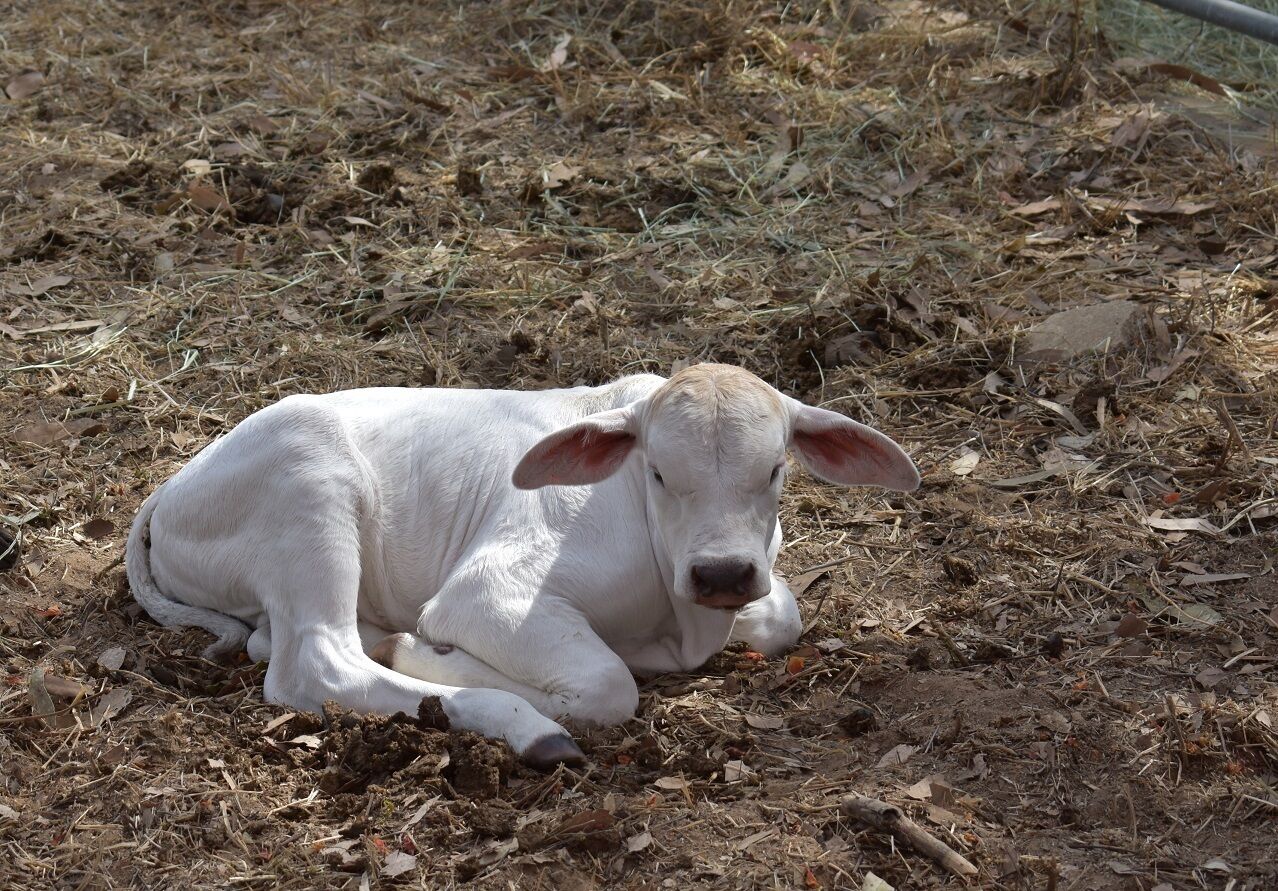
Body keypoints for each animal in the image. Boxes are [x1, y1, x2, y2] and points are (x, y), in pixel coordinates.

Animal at [129, 360, 920, 767]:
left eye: (776, 469)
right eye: (659, 471)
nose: (721, 573)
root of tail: (172, 490)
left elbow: (782, 616)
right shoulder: (485, 592)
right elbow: (607, 683)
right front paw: (442, 657)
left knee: (283, 642)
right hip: (309, 487)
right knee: (317, 664)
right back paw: (523, 725)